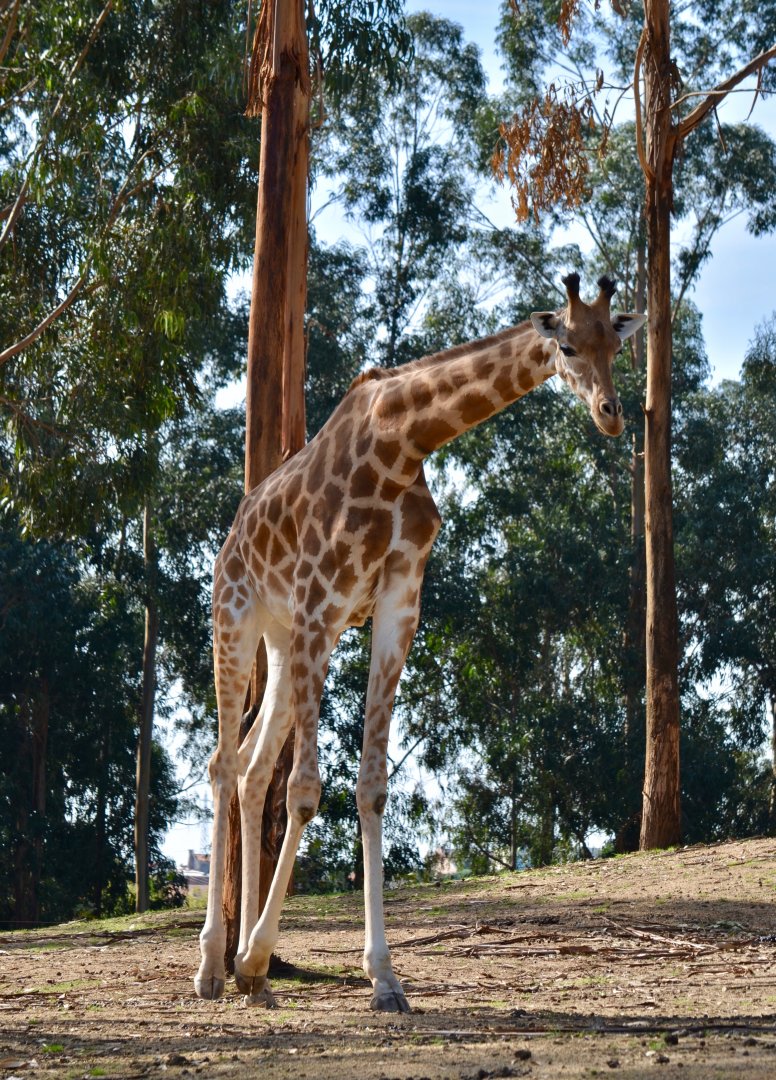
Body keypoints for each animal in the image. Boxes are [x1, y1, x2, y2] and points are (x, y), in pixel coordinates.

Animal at [194, 272, 646, 1012]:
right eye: (569, 345)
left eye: (616, 344)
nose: (611, 415)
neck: (401, 443)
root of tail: (232, 532)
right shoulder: (320, 598)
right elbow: (306, 791)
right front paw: (259, 956)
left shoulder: (397, 604)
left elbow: (372, 786)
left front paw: (382, 977)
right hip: (237, 617)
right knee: (224, 763)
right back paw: (211, 965)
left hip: (285, 643)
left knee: (256, 767)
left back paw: (245, 975)